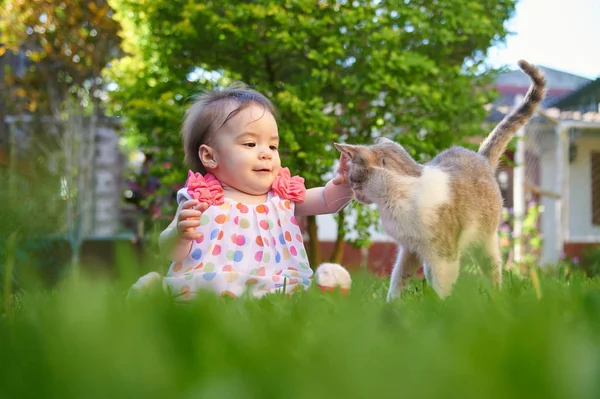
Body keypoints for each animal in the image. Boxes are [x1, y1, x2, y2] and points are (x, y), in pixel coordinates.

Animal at [336, 61, 548, 302]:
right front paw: (392, 304)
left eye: (353, 179)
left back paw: (497, 299)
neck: (397, 196)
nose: (354, 194)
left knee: (493, 273)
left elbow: (442, 286)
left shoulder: (444, 254)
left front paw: (440, 307)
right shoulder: (410, 249)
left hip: (486, 243)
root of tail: (481, 157)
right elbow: (398, 278)